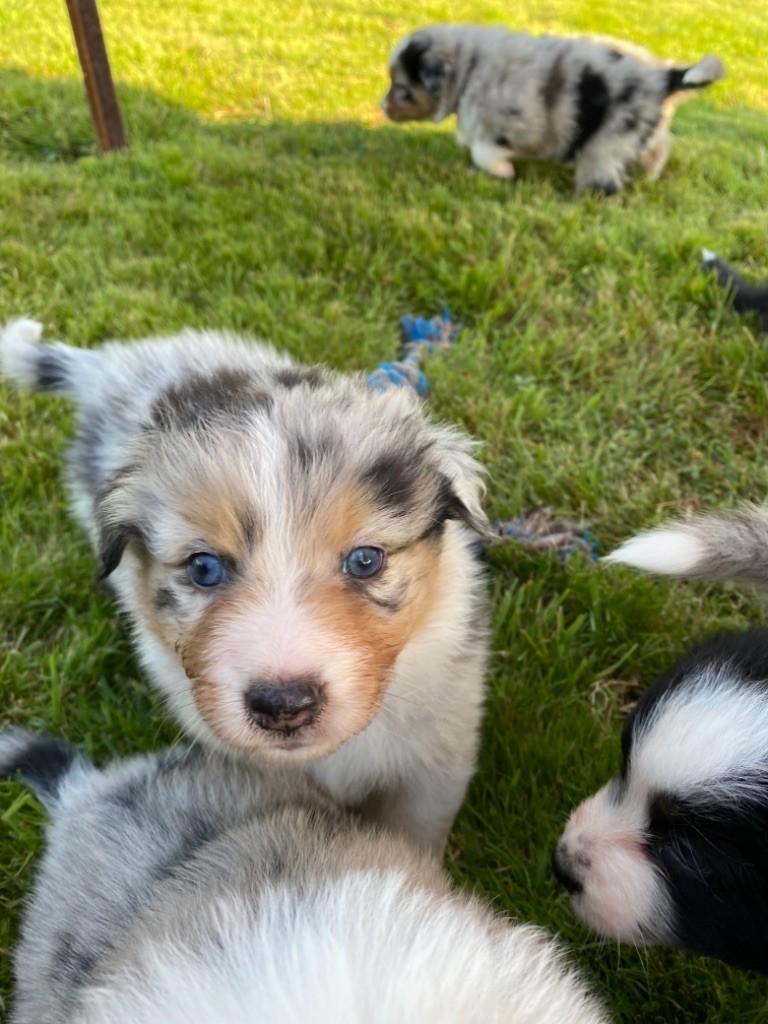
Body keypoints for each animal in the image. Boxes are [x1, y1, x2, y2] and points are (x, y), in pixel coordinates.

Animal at [1, 319, 490, 851]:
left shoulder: (436, 758)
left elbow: (414, 831)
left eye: (365, 560)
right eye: (204, 568)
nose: (284, 705)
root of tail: (113, 365)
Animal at [382, 25, 723, 195]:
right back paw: (646, 180)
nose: (382, 107)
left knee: (604, 177)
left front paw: (503, 172)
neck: (469, 68)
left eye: (401, 88)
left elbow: (483, 150)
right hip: (645, 131)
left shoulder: (516, 124)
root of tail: (663, 77)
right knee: (657, 152)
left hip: (607, 141)